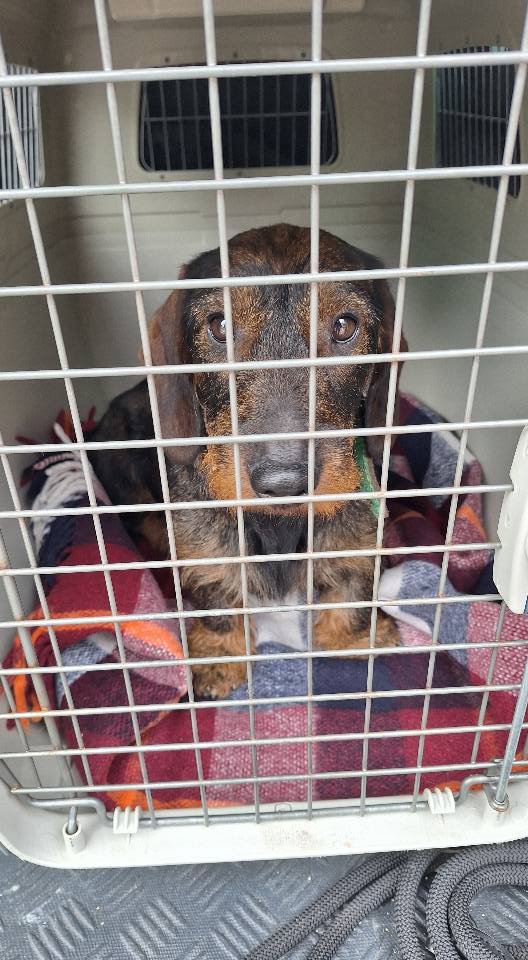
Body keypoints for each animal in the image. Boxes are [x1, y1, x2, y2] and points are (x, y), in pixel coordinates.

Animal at [89, 224, 405, 697]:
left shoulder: (356, 531)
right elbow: (216, 588)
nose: (284, 482)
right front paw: (221, 655)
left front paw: (352, 638)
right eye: (220, 325)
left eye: (344, 326)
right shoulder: (205, 544)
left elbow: (352, 580)